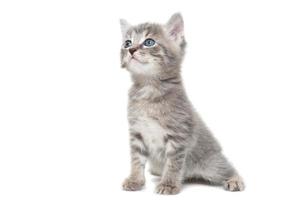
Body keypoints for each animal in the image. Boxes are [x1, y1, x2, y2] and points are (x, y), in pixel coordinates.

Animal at [119, 13, 244, 195]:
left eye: (149, 42)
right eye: (127, 43)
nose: (131, 50)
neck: (149, 90)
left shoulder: (178, 135)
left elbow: (173, 163)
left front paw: (169, 184)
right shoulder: (137, 132)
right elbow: (136, 159)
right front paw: (135, 180)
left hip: (211, 164)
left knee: (227, 168)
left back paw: (235, 180)